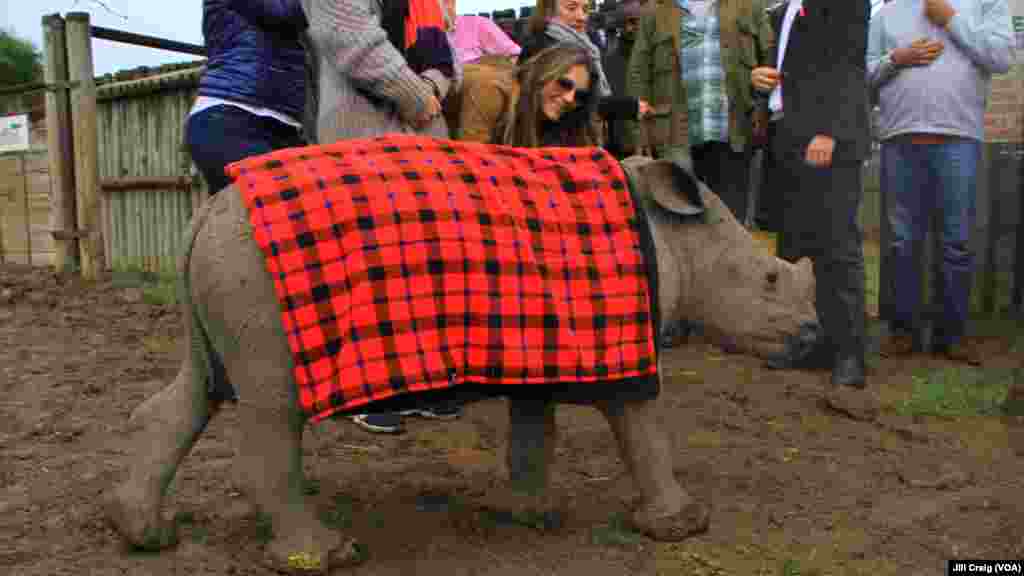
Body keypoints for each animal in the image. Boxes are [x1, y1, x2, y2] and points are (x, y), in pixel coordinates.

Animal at [104, 148, 819, 573]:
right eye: (768, 281)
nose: (813, 340)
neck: (671, 231)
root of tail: (208, 210)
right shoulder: (616, 339)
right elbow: (641, 430)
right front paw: (682, 526)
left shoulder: (541, 339)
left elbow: (534, 431)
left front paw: (534, 514)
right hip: (258, 272)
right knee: (275, 410)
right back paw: (327, 555)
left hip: (225, 262)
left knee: (199, 390)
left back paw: (145, 535)